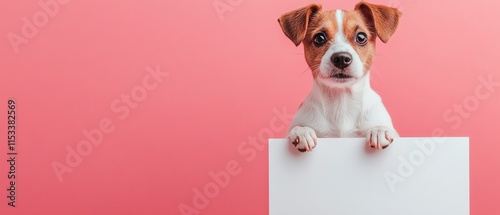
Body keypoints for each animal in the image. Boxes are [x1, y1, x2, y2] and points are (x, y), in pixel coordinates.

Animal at [278, 2, 402, 153]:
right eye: (319, 38)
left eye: (361, 37)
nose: (342, 58)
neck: (341, 101)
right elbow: (298, 127)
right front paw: (302, 131)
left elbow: (382, 127)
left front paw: (379, 129)